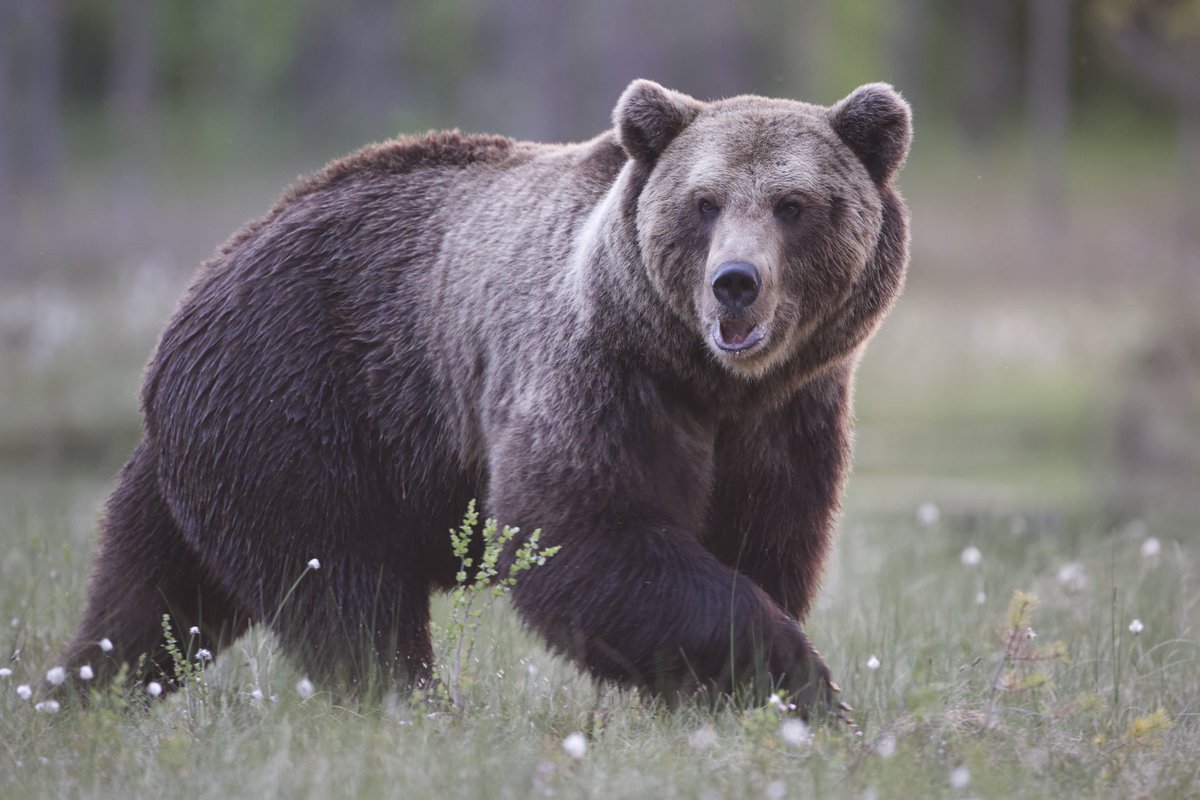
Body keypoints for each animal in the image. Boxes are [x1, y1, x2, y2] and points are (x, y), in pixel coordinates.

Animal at [61, 79, 911, 715]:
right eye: (704, 202)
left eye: (793, 204)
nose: (735, 282)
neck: (705, 380)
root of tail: (200, 282)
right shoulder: (597, 375)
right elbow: (588, 530)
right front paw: (801, 682)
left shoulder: (787, 417)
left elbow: (764, 540)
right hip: (301, 405)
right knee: (341, 591)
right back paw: (414, 702)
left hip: (208, 447)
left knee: (149, 594)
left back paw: (84, 692)